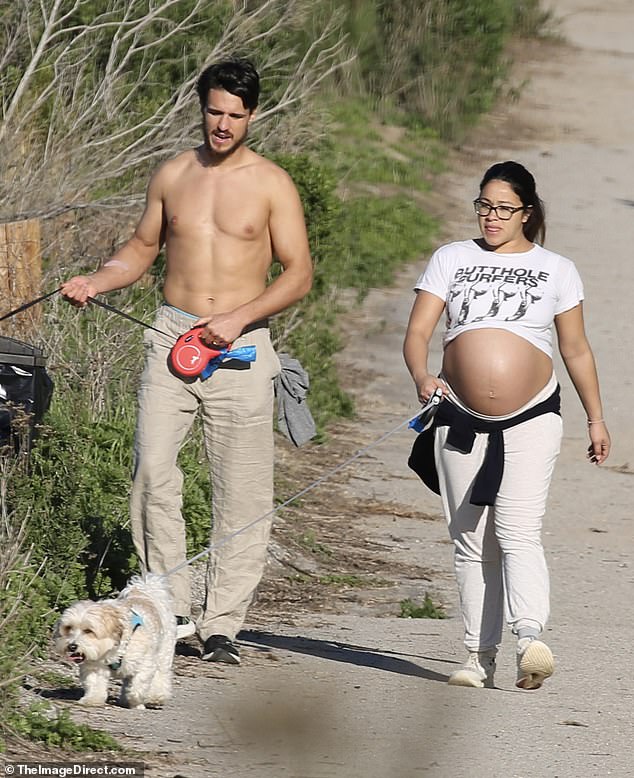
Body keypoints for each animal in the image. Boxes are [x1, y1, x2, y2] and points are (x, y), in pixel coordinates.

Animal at [54, 572, 175, 708]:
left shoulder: (144, 663)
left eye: (88, 631)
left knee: (161, 674)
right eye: (68, 628)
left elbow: (137, 686)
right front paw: (92, 699)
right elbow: (95, 684)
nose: (72, 646)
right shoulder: (95, 667)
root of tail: (146, 592)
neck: (113, 647)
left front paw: (136, 700)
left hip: (164, 653)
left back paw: (155, 697)